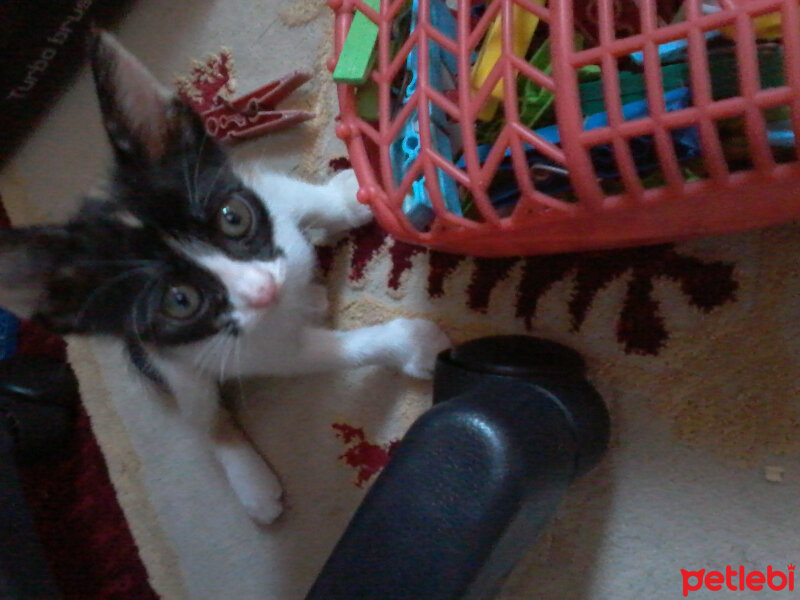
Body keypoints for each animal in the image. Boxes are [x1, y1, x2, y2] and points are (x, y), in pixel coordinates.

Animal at [0, 32, 450, 524]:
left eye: (233, 217)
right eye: (179, 301)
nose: (263, 290)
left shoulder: (256, 184)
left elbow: (305, 201)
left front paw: (349, 197)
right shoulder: (249, 348)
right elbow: (334, 352)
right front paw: (411, 343)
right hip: (166, 359)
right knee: (201, 414)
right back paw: (250, 479)